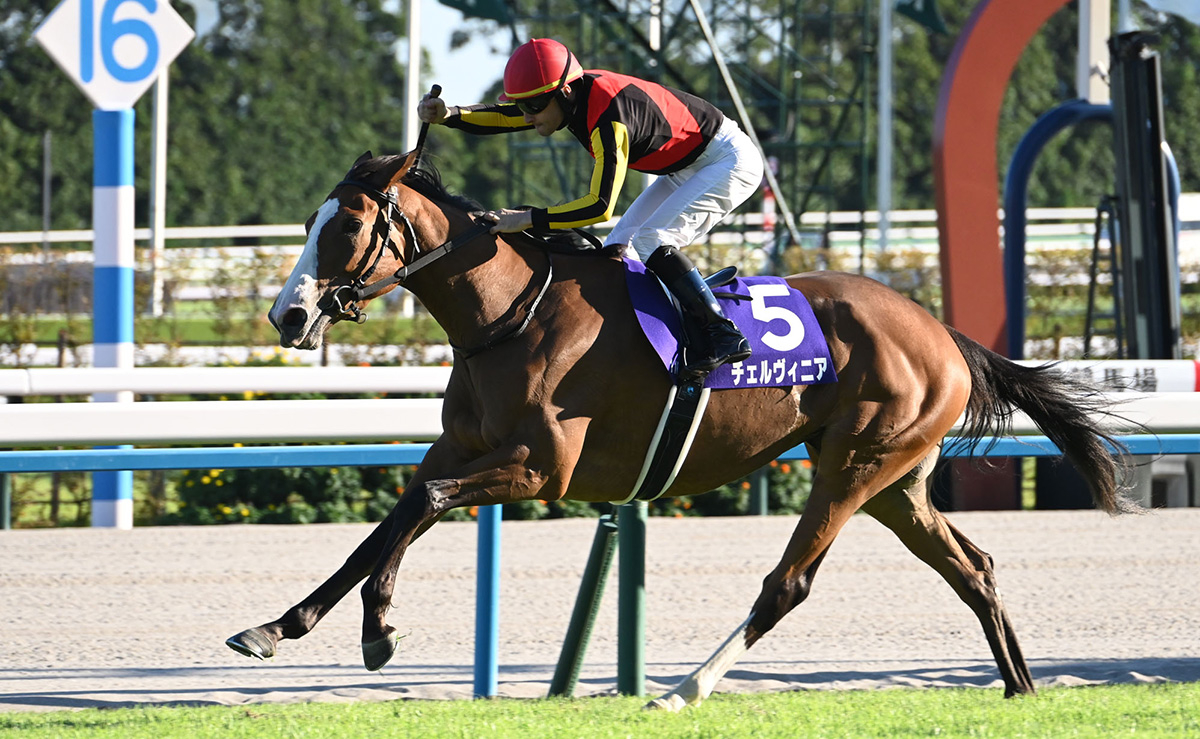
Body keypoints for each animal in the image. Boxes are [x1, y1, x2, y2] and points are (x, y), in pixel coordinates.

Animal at [226, 149, 1132, 710]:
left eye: (346, 227)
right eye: (309, 226)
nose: (288, 316)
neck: (509, 314)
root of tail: (941, 330)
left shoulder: (542, 468)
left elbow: (425, 506)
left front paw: (376, 629)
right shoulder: (461, 444)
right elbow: (386, 523)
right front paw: (281, 626)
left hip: (853, 465)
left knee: (788, 583)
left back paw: (680, 690)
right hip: (895, 481)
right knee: (972, 567)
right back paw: (1020, 687)